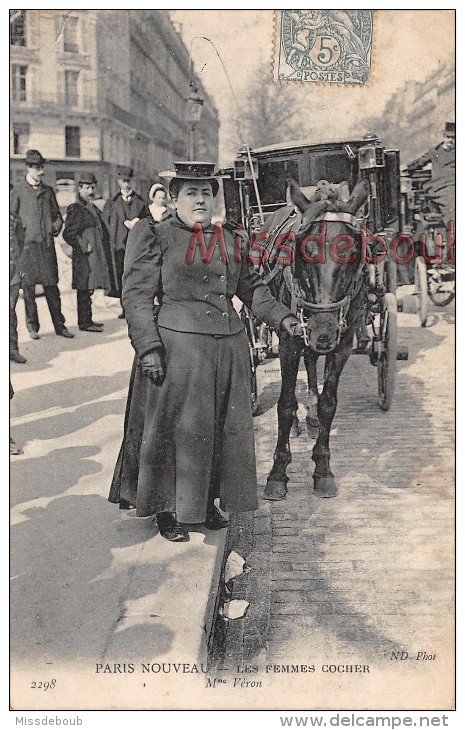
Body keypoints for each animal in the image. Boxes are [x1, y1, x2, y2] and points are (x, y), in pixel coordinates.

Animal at [258, 175, 370, 500]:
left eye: (353, 253)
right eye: (304, 250)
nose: (322, 329)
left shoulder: (343, 342)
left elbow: (328, 402)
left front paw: (322, 469)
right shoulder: (289, 338)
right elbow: (284, 405)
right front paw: (277, 473)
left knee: (311, 362)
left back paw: (311, 419)